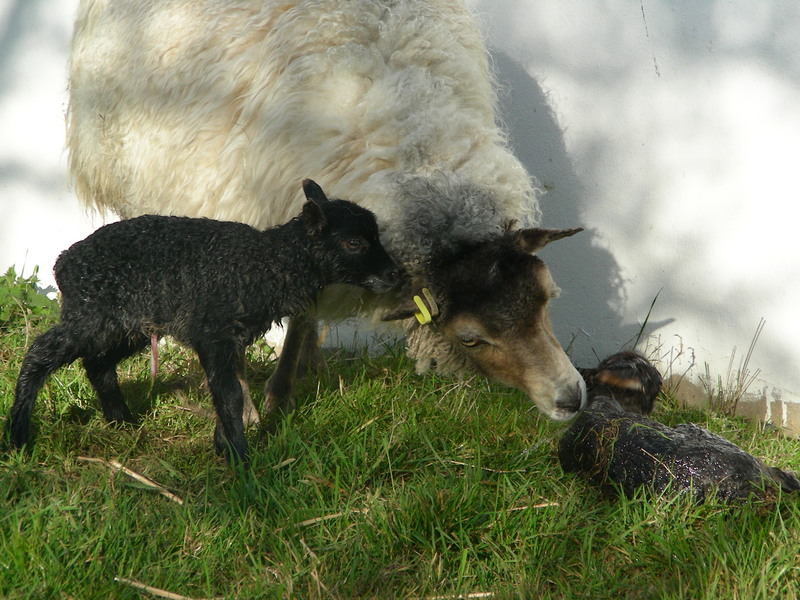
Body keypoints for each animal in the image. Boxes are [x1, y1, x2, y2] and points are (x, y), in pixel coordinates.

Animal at [7, 180, 400, 466]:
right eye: (354, 242)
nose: (394, 274)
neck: (268, 264)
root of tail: (63, 263)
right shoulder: (214, 333)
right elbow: (230, 394)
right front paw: (240, 459)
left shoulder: (229, 338)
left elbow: (230, 391)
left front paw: (223, 446)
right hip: (90, 316)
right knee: (41, 353)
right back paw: (18, 437)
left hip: (129, 323)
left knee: (98, 363)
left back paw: (122, 421)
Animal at [65, 0, 588, 422]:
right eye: (469, 337)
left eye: (548, 296)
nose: (572, 398)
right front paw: (254, 408)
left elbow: (302, 314)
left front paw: (288, 383)